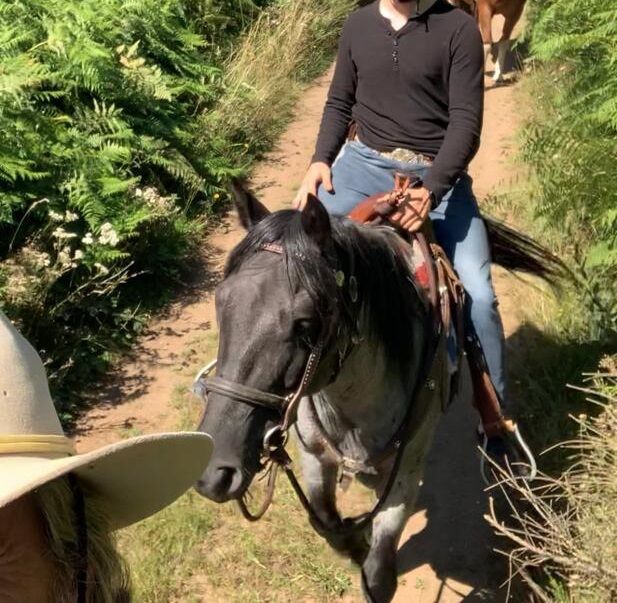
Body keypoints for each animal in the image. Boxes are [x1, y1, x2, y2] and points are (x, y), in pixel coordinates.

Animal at [194, 186, 560, 600]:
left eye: (305, 323)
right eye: (222, 303)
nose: (214, 469)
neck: (352, 402)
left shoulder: (406, 470)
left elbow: (379, 574)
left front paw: (366, 547)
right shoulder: (314, 455)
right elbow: (327, 524)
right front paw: (355, 540)